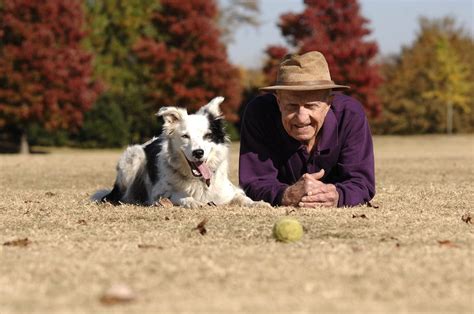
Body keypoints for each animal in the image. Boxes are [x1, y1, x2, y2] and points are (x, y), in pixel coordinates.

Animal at [96, 95, 260, 209]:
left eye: (207, 136)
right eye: (185, 136)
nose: (198, 152)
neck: (198, 181)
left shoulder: (229, 191)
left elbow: (243, 198)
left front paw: (258, 203)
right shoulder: (159, 192)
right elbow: (178, 195)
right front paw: (192, 201)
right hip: (134, 159)